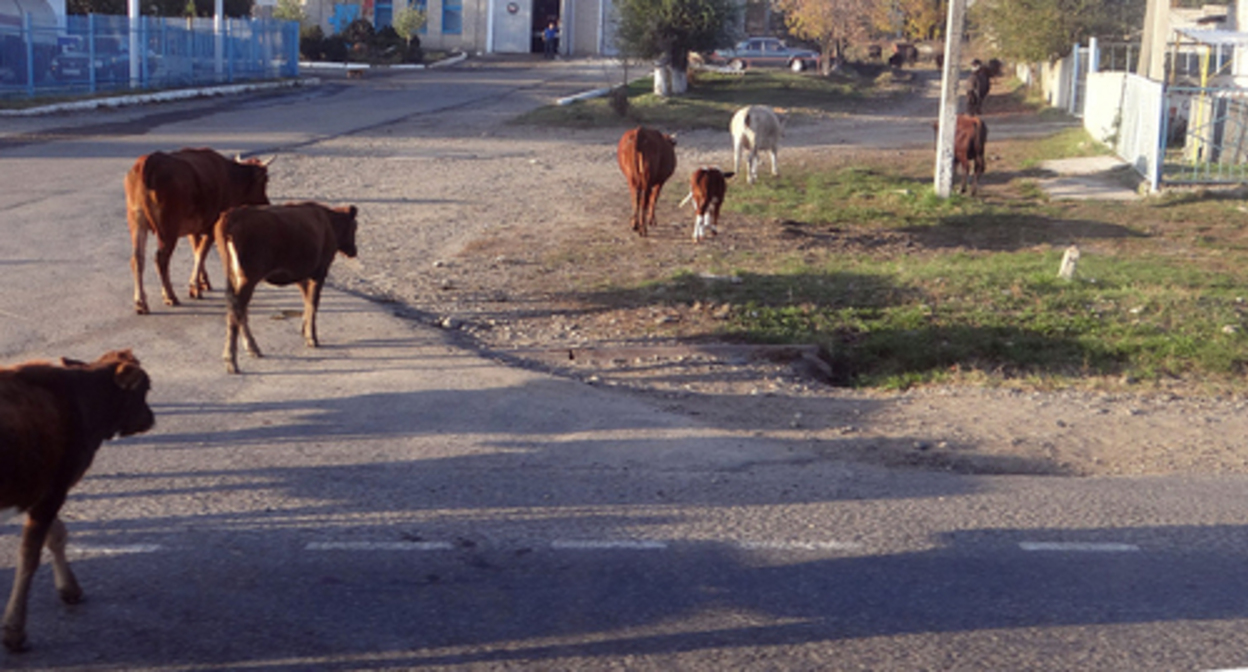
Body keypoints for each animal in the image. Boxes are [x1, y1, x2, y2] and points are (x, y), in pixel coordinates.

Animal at [0, 347, 154, 649]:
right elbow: (30, 555)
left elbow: (57, 535)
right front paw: (14, 630)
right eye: (145, 388)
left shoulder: (44, 492)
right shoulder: (54, 489)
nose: (150, 416)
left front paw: (69, 587)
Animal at [125, 147, 272, 313]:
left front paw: (203, 282)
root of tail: (149, 161)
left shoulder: (193, 228)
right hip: (167, 230)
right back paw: (169, 296)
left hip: (137, 222)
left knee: (137, 259)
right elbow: (201, 252)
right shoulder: (212, 226)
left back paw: (141, 301)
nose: (267, 203)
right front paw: (195, 286)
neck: (230, 176)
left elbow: (197, 250)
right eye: (265, 180)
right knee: (161, 259)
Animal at [214, 201, 359, 374]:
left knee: (238, 310)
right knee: (236, 311)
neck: (328, 221)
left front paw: (304, 330)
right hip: (248, 278)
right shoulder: (320, 272)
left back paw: (252, 349)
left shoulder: (302, 275)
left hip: (234, 276)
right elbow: (313, 304)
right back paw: (232, 359)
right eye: (355, 227)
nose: (354, 251)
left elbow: (307, 302)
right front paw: (312, 337)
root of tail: (231, 215)